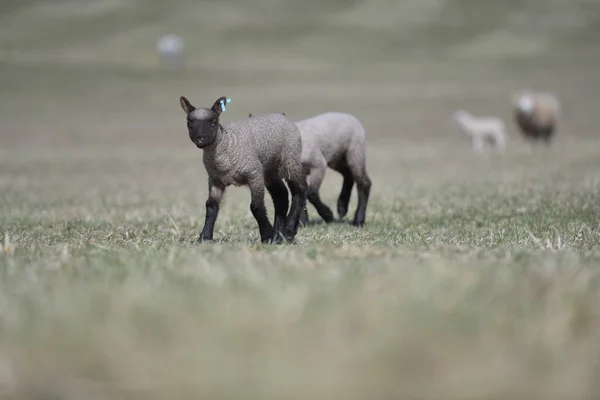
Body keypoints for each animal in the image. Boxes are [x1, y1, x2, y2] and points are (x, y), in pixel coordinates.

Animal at [179, 95, 308, 244]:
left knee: (300, 189)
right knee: (281, 195)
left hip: (290, 159)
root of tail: (281, 115)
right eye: (189, 123)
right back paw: (279, 235)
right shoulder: (215, 180)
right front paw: (204, 237)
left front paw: (267, 235)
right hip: (269, 169)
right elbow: (211, 206)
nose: (200, 139)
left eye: (213, 122)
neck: (226, 144)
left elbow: (256, 207)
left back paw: (288, 232)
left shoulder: (254, 174)